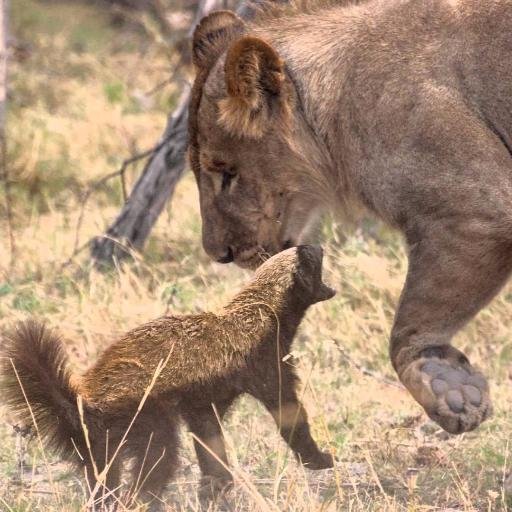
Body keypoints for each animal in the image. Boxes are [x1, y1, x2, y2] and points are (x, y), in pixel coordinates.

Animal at [2, 245, 336, 508]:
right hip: (145, 416)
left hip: (99, 446)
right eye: (310, 257)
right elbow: (288, 413)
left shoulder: (204, 400)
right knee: (157, 460)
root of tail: (83, 403)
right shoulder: (265, 362)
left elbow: (208, 438)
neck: (264, 309)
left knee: (103, 482)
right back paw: (143, 501)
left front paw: (216, 486)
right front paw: (320, 459)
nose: (318, 244)